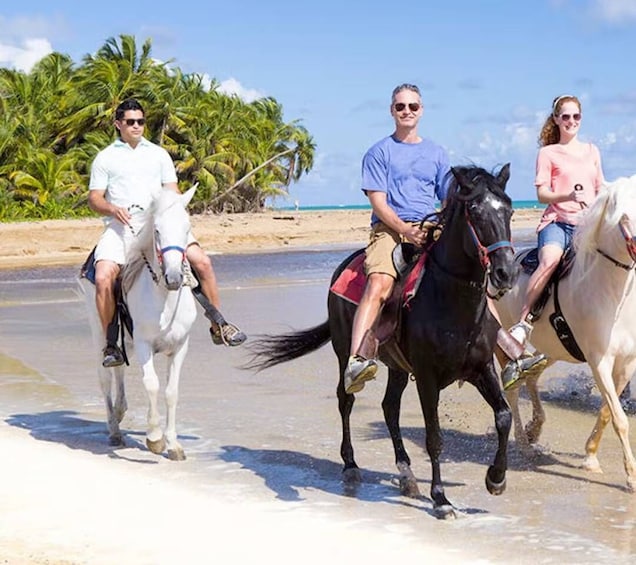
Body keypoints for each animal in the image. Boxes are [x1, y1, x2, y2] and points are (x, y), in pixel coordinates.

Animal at [80, 187, 198, 460]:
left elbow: (171, 392)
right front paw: (154, 439)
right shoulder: (145, 345)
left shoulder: (180, 347)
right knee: (105, 377)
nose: (174, 278)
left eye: (187, 228)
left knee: (119, 368)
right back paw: (114, 430)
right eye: (157, 231)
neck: (164, 299)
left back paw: (120, 411)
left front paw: (174, 445)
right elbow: (152, 385)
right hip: (99, 333)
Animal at [246, 162, 520, 516]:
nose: (505, 273)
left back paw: (406, 474)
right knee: (346, 400)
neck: (450, 299)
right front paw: (440, 498)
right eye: (474, 210)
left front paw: (496, 478)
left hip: (398, 367)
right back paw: (350, 465)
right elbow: (434, 438)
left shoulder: (480, 368)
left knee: (389, 408)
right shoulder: (427, 378)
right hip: (345, 353)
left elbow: (503, 417)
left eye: (509, 209)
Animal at [494, 175, 636, 490]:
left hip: (553, 349)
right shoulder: (599, 361)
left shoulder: (626, 364)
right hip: (505, 344)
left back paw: (534, 429)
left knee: (531, 376)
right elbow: (619, 418)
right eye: (622, 208)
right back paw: (524, 443)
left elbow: (607, 412)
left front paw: (590, 458)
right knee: (513, 388)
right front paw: (632, 476)